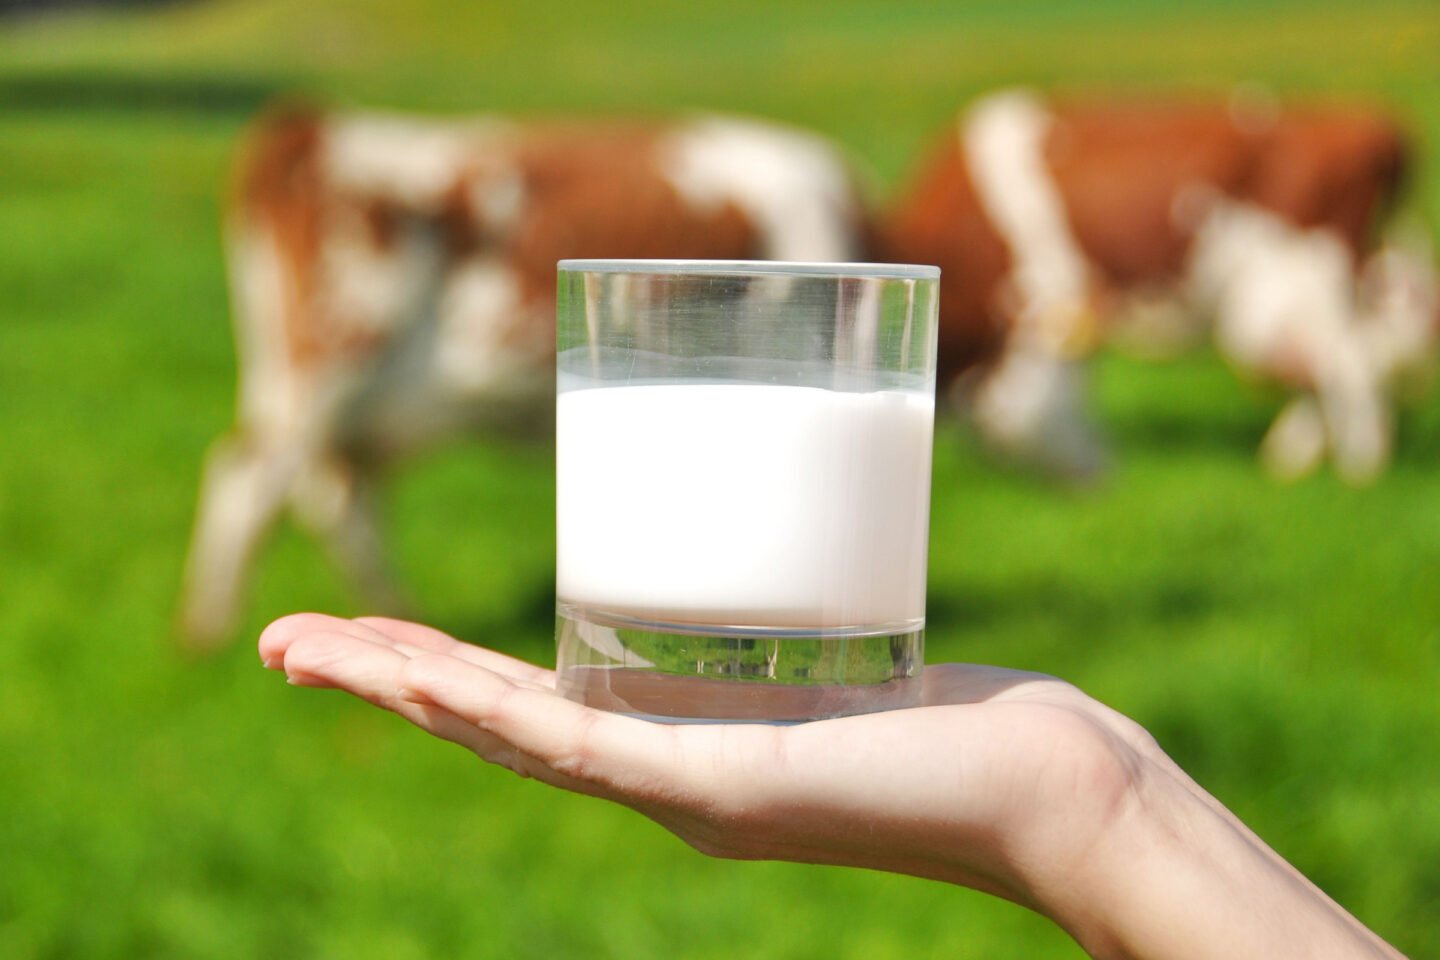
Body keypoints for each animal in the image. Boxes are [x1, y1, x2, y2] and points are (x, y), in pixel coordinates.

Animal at [178, 105, 864, 650]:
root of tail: (312, 127)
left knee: (336, 495)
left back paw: (392, 611)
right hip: (329, 358)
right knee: (250, 482)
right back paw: (210, 635)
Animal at [881, 87, 1434, 483]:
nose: (1102, 474)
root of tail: (1370, 123)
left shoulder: (1043, 297)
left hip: (1316, 275)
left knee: (1351, 362)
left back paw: (1360, 470)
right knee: (1322, 362)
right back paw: (1290, 459)